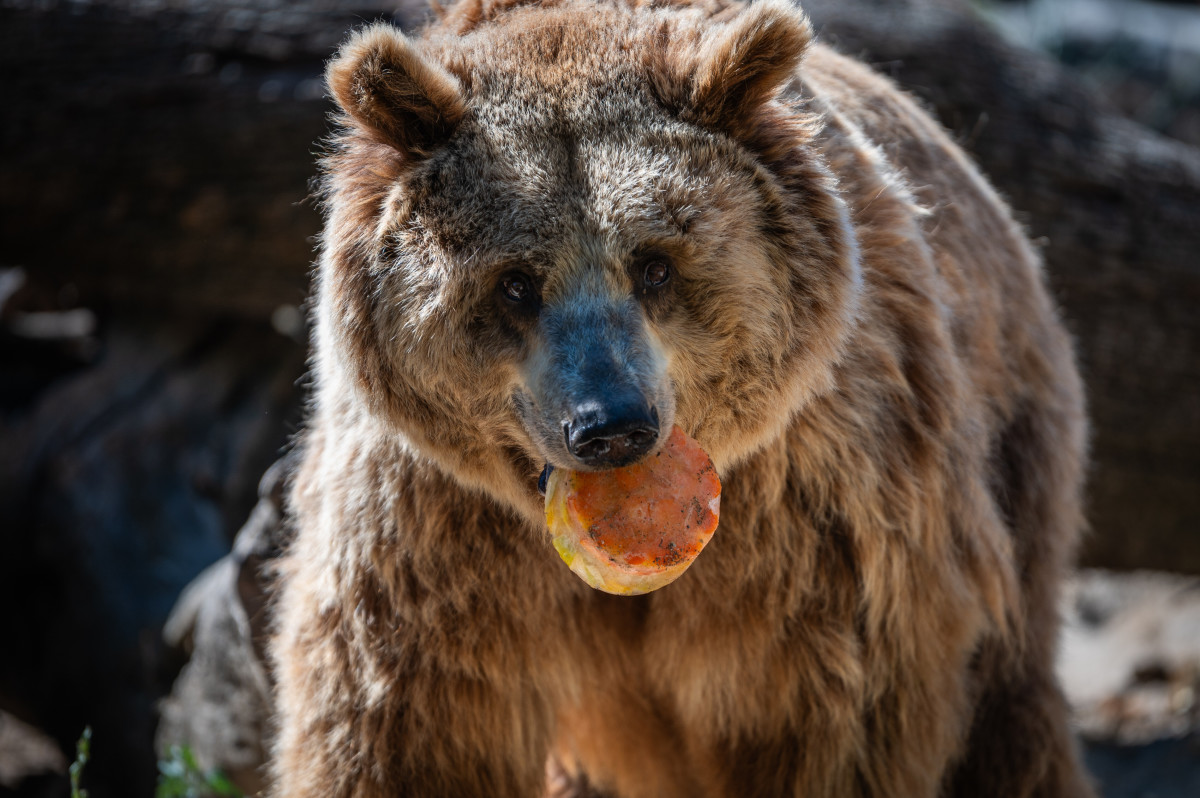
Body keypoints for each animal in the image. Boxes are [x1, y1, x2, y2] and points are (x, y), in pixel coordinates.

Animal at [269, 0, 1094, 795]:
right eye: (515, 282)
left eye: (656, 264)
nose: (611, 425)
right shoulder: (433, 529)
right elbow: (407, 725)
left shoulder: (812, 513)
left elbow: (828, 718)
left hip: (1011, 452)